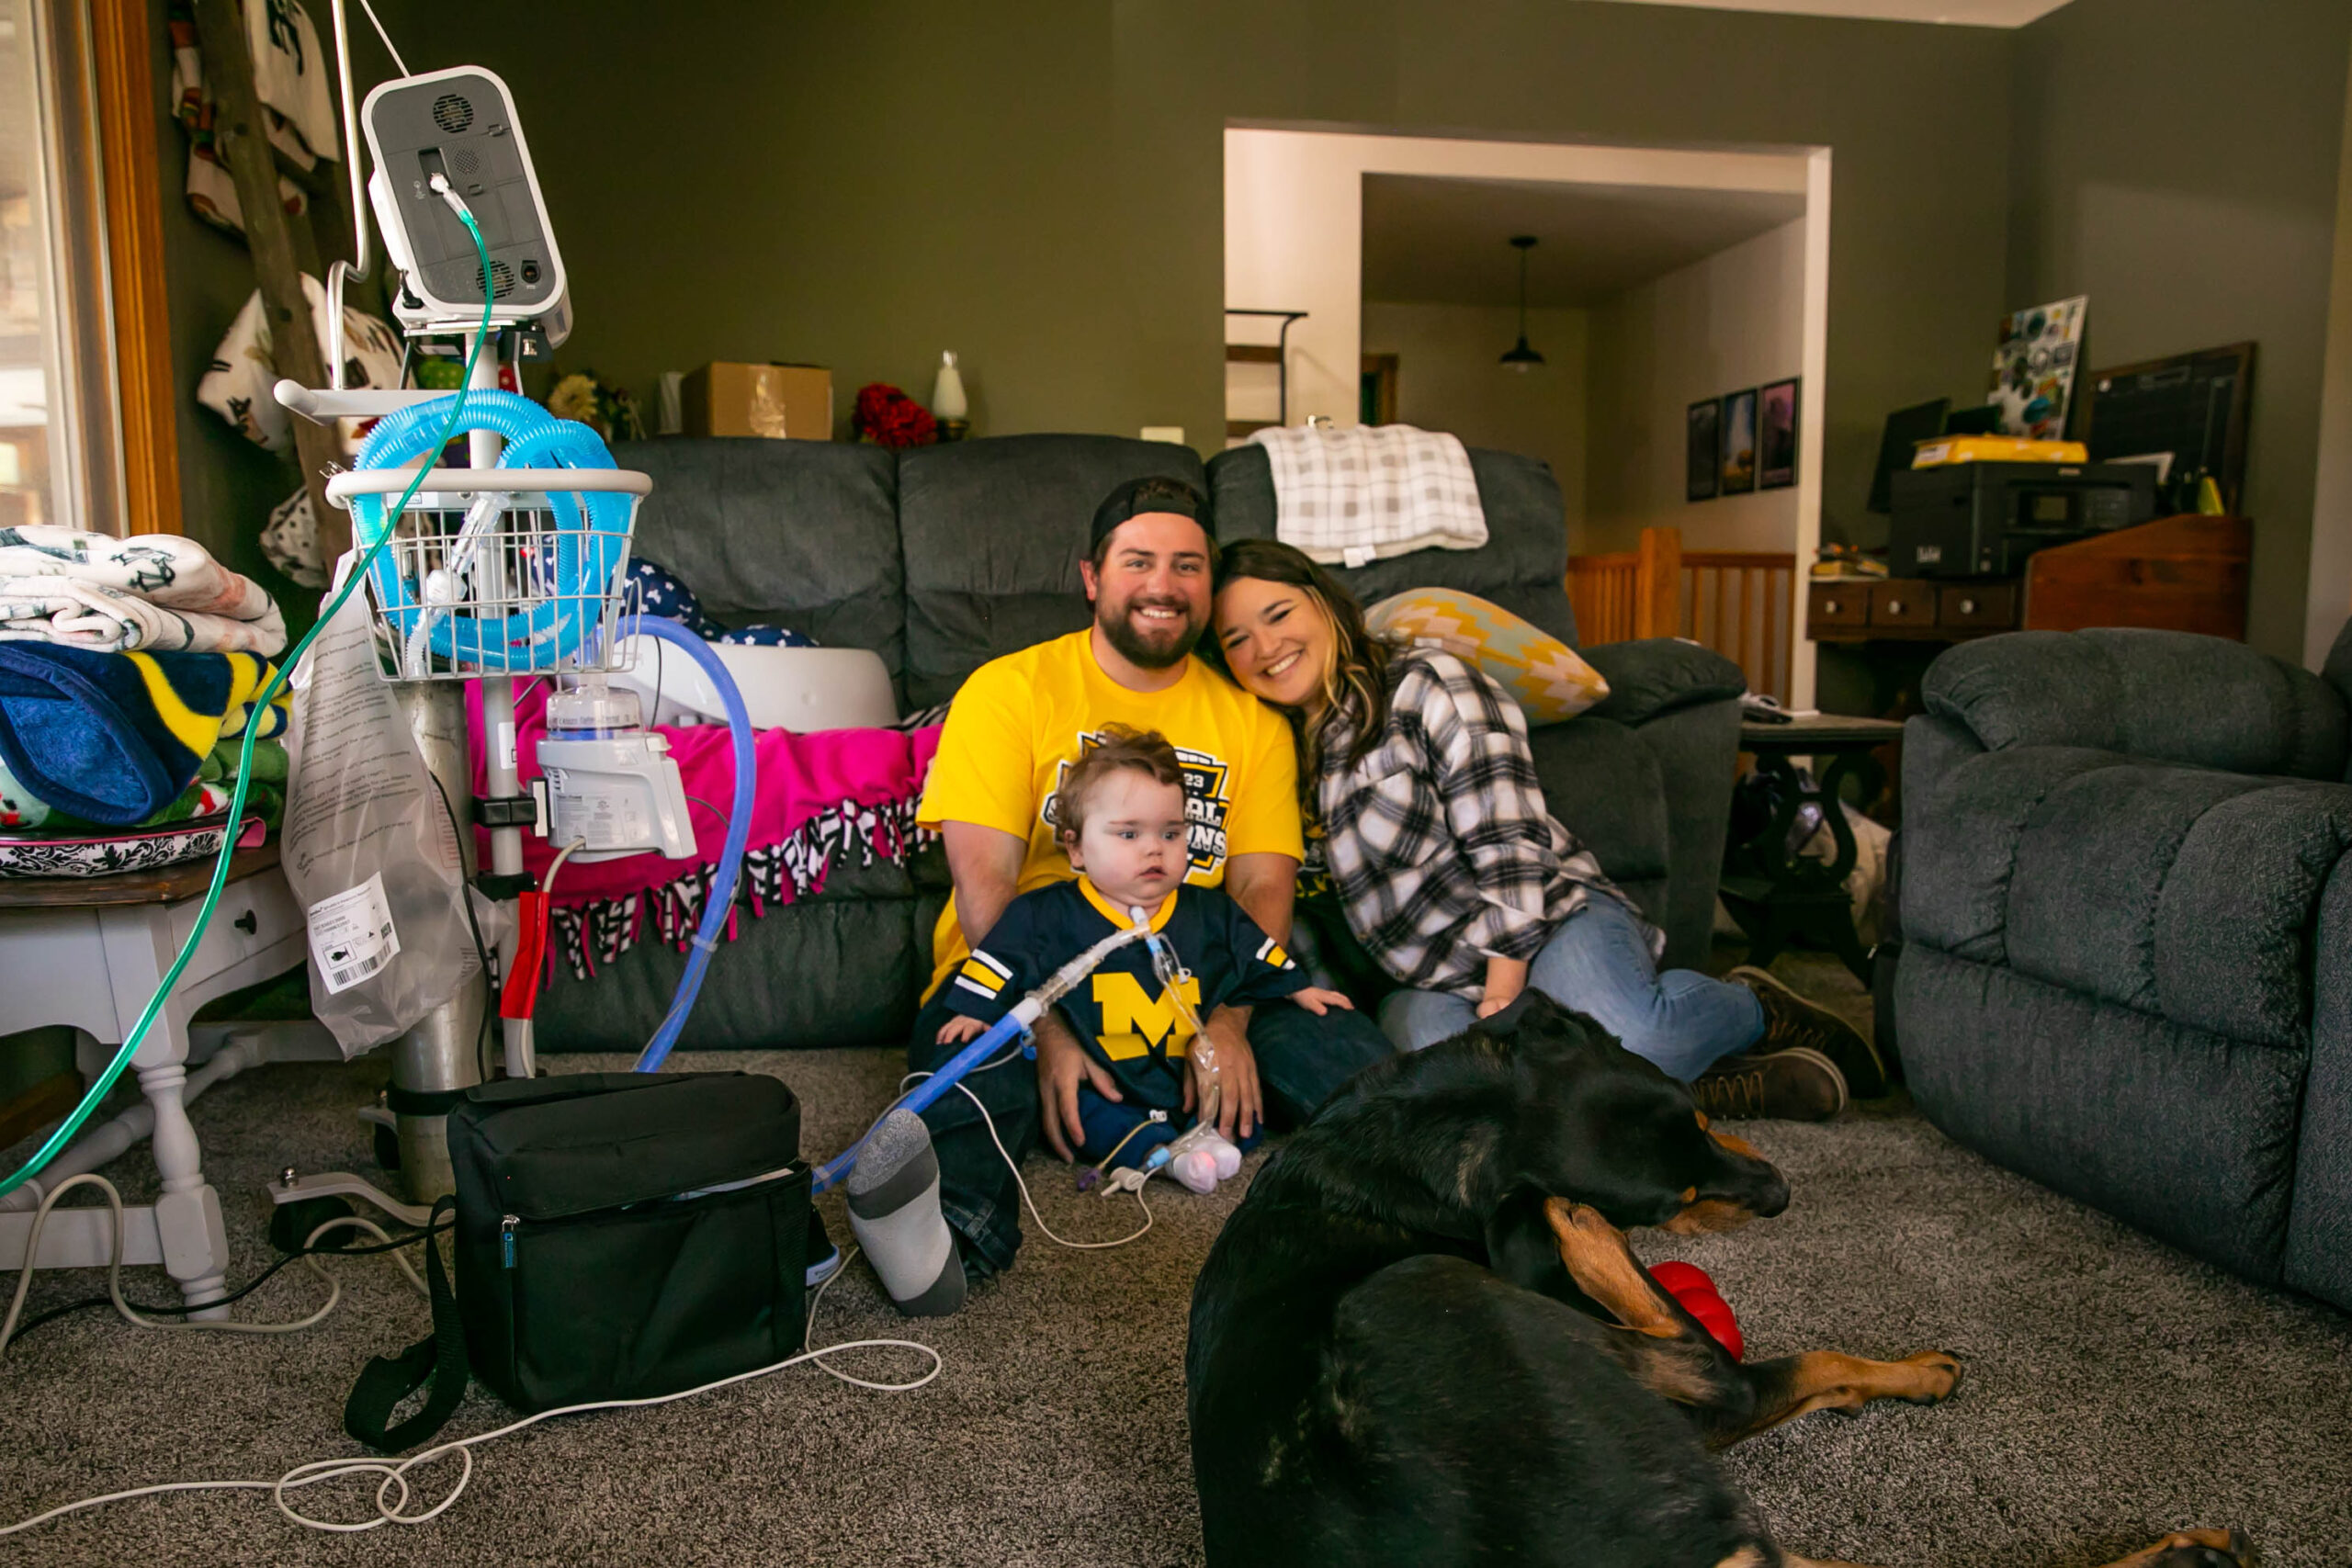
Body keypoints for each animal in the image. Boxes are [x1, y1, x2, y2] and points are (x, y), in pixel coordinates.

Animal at [1185, 1001, 2248, 1561]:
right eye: (1675, 1197)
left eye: (1700, 1114)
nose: (1782, 1194)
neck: (1433, 1134)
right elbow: (1802, 1361)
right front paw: (1912, 1370)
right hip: (1427, 1296)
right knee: (1722, 1367)